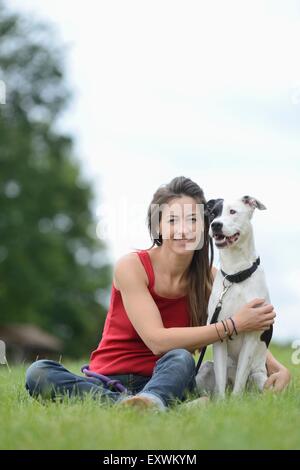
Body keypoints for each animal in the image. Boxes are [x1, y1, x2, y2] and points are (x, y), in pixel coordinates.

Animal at [196, 195, 274, 396]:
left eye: (232, 212)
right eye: (213, 213)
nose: (215, 225)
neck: (236, 274)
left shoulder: (251, 335)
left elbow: (241, 376)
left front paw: (237, 400)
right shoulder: (218, 334)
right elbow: (221, 382)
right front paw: (224, 402)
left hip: (259, 377)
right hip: (206, 368)